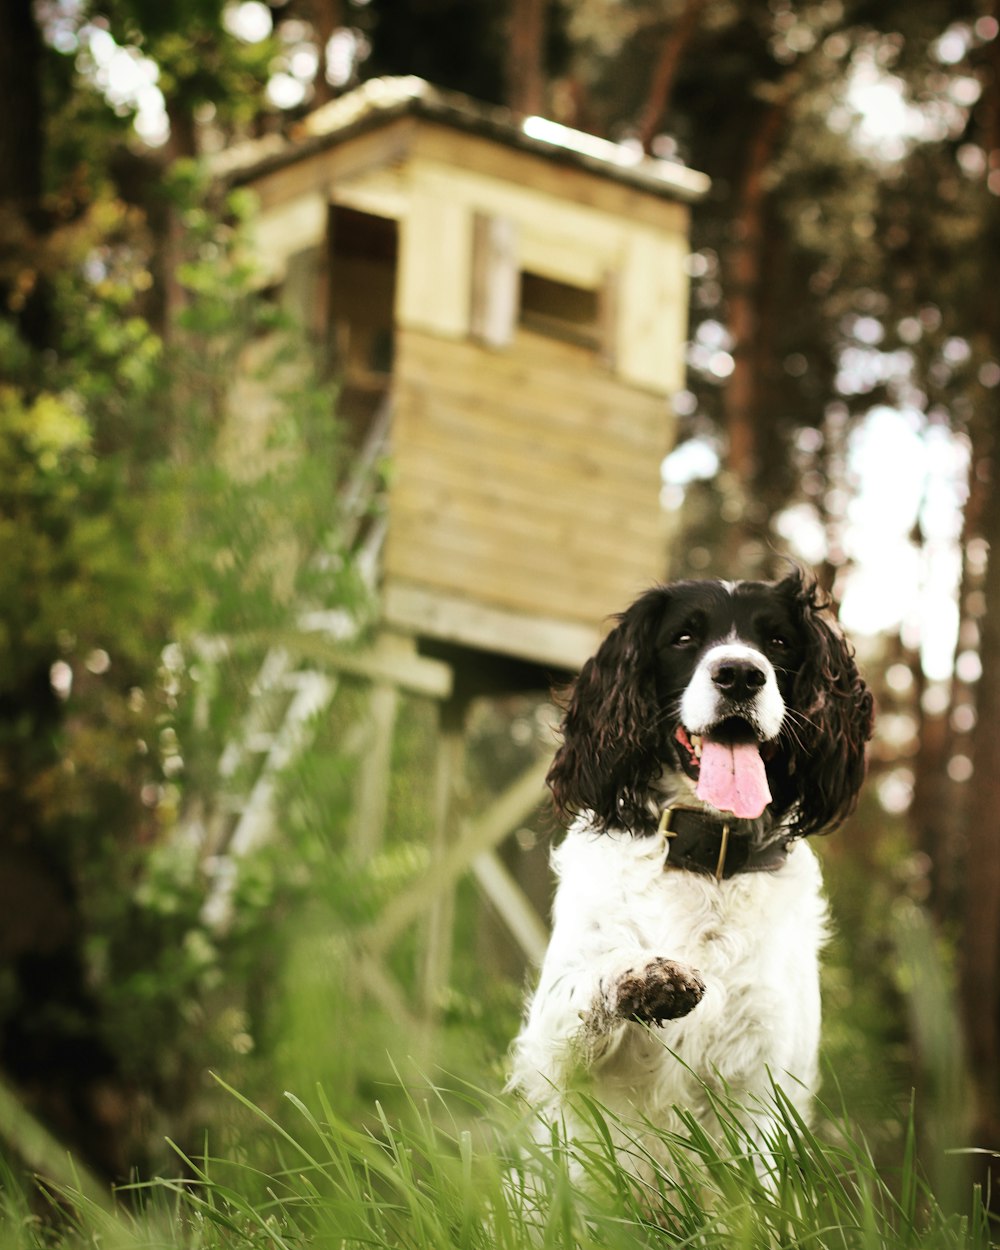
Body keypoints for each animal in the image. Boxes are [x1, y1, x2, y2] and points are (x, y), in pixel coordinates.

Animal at [512, 567, 870, 1170]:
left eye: (777, 640)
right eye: (683, 638)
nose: (740, 674)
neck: (707, 856)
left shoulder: (762, 1077)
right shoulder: (550, 1044)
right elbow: (591, 984)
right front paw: (645, 975)